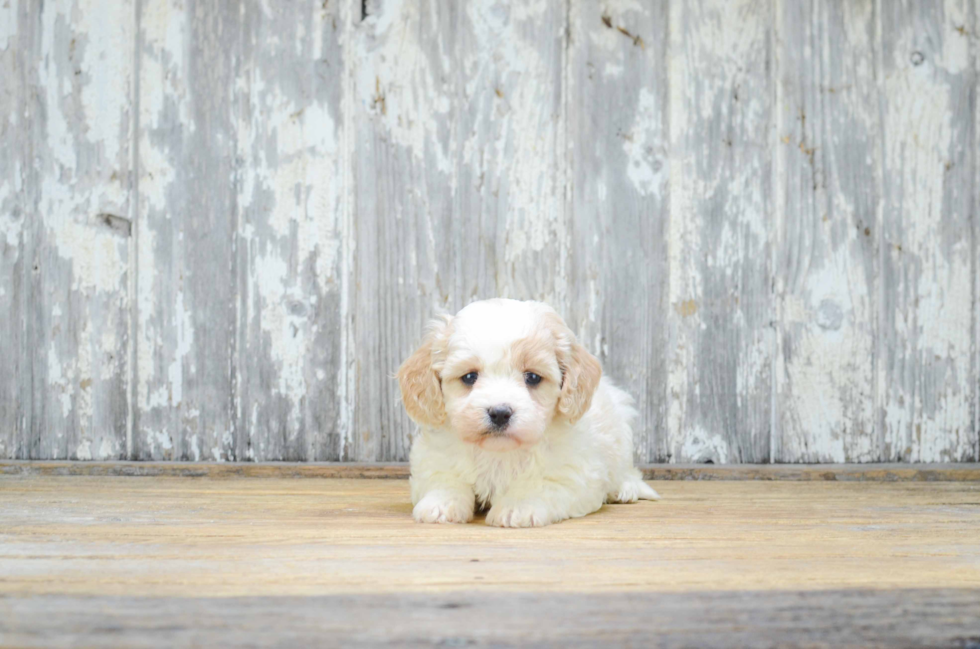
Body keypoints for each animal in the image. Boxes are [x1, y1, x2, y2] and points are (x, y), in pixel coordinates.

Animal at [396, 298, 660, 528]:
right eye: (469, 377)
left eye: (532, 377)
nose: (500, 413)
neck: (500, 453)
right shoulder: (434, 458)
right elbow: (444, 479)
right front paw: (440, 504)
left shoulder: (572, 473)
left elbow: (540, 485)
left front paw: (517, 507)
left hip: (621, 430)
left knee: (626, 469)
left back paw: (625, 489)